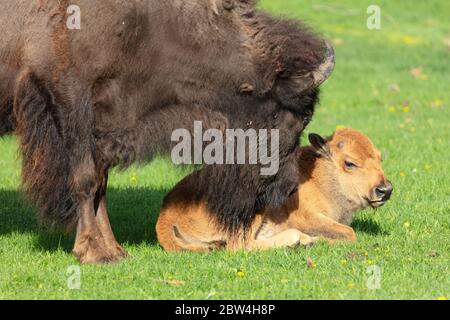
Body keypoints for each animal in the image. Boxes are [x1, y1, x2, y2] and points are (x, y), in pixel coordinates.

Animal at [0, 0, 334, 262]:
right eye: (288, 117)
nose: (288, 188)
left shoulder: (106, 120)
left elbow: (101, 183)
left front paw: (115, 249)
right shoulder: (69, 96)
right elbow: (85, 179)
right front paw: (94, 252)